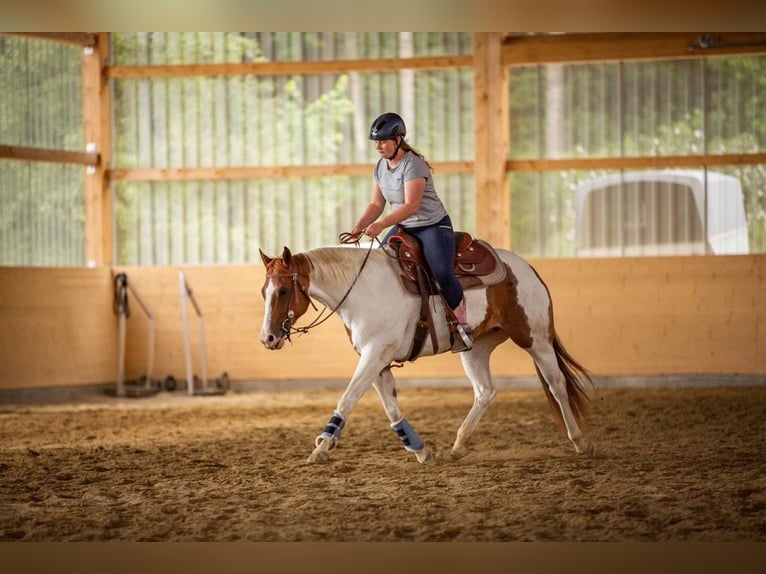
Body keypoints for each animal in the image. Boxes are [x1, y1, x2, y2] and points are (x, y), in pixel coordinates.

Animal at [259, 239, 593, 464]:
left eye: (284, 291)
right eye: (264, 292)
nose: (268, 338)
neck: (361, 290)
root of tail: (526, 267)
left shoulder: (374, 354)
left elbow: (348, 399)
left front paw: (321, 447)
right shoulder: (377, 359)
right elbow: (391, 407)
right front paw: (420, 450)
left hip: (535, 338)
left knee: (556, 384)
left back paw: (579, 441)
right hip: (475, 347)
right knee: (485, 391)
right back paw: (459, 444)